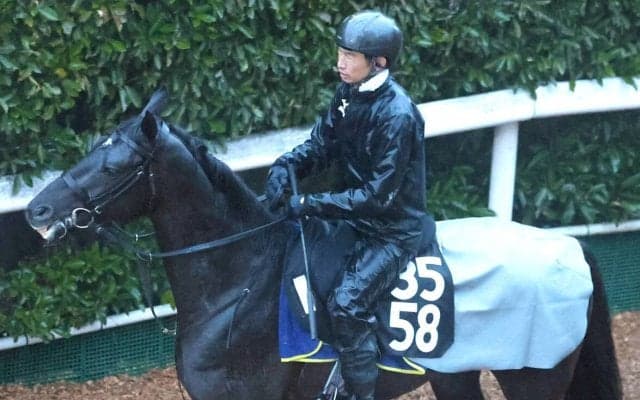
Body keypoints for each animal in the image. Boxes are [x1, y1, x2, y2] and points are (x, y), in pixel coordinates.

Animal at [25, 91, 621, 400]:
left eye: (114, 165)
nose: (38, 211)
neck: (239, 286)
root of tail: (571, 248)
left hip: (534, 380)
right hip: (456, 377)